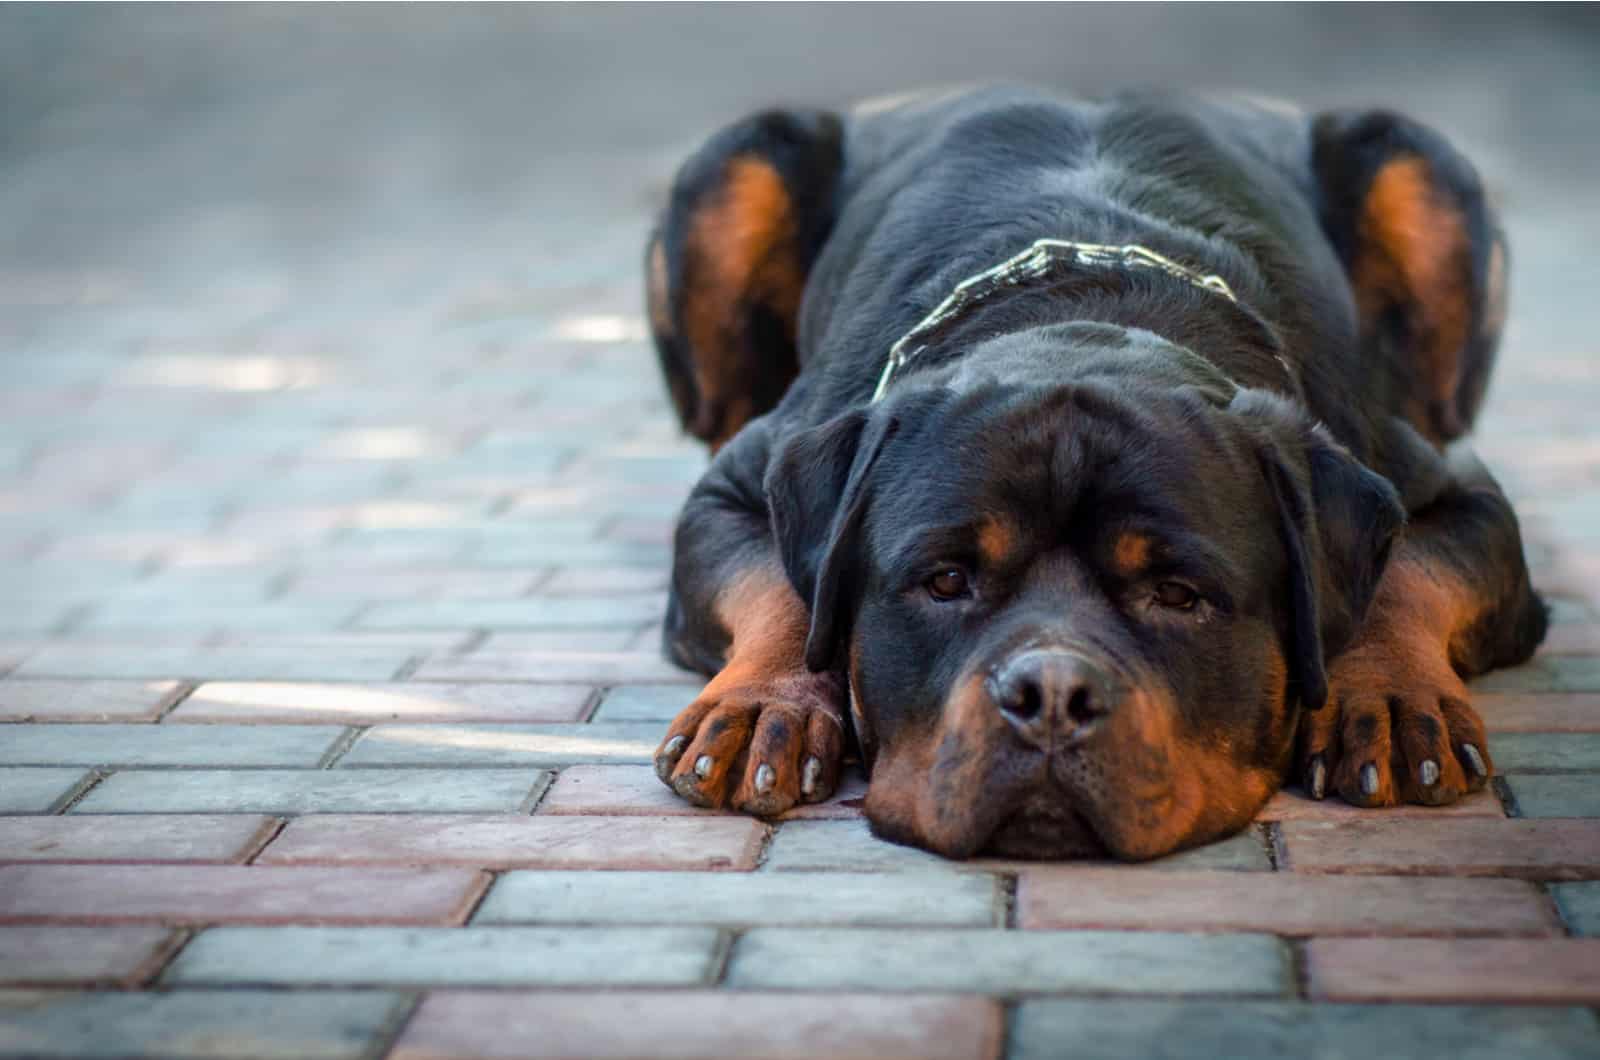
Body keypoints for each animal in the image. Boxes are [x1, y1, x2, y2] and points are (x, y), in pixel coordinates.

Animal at [643, 85, 1542, 864]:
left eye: (1178, 595)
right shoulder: (743, 480)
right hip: (735, 168)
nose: (1051, 694)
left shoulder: (1448, 487)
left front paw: (1386, 696)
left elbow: (1407, 573)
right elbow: (784, 585)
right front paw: (768, 702)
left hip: (1413, 166)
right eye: (945, 581)